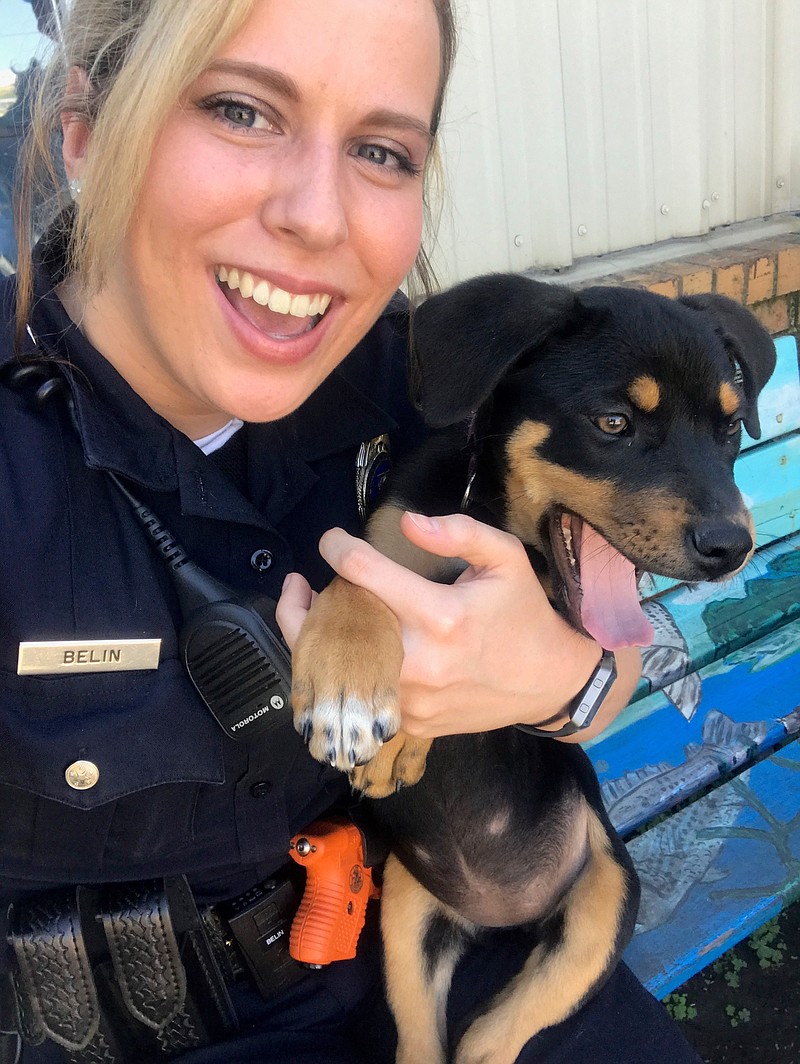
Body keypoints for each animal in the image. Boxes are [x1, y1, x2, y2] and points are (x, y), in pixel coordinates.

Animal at [291, 278, 770, 1064]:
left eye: (731, 429)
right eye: (613, 423)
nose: (733, 547)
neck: (492, 519)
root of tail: (503, 919)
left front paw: (397, 742)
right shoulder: (390, 536)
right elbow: (359, 582)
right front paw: (347, 691)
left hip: (604, 906)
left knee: (489, 1040)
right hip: (406, 921)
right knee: (423, 1042)